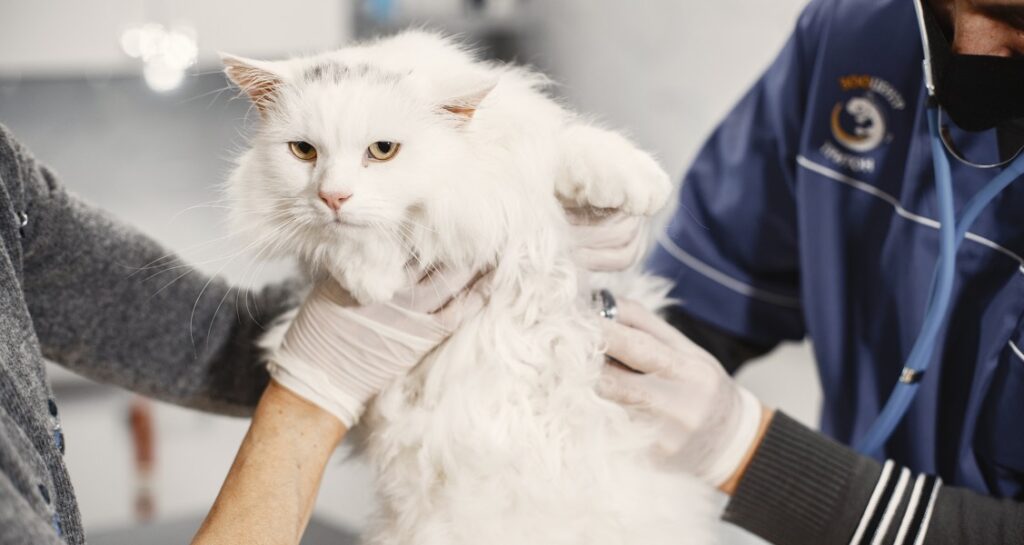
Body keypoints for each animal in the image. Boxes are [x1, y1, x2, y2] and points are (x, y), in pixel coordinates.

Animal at [226, 30, 720, 545]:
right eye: (304, 151)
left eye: (382, 150)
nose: (333, 197)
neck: (462, 185)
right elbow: (340, 244)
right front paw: (372, 279)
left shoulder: (522, 155)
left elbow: (570, 147)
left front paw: (639, 184)